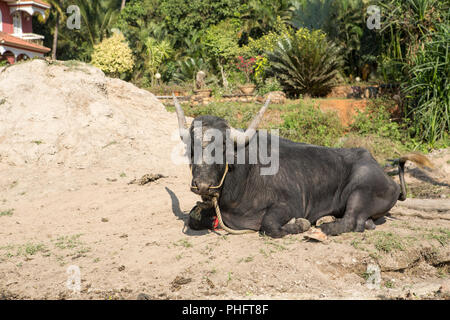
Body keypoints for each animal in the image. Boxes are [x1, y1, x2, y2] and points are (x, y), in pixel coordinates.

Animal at [173, 96, 432, 239]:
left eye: (223, 147)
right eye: (191, 148)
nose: (202, 185)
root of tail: (389, 180)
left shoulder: (288, 205)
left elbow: (269, 226)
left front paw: (300, 224)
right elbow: (194, 217)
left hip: (361, 188)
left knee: (351, 221)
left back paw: (321, 228)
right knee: (362, 222)